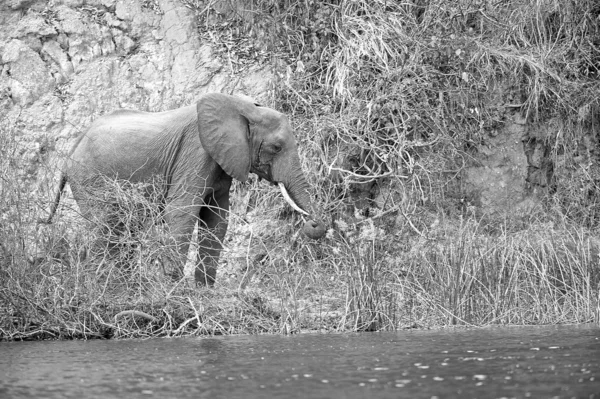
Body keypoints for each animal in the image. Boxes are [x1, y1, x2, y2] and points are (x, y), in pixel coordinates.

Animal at [44, 92, 326, 286]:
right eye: (277, 147)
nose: (313, 223)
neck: (242, 107)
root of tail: (71, 148)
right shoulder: (196, 152)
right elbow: (182, 211)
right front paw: (174, 290)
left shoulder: (221, 160)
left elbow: (217, 219)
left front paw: (204, 292)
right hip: (89, 179)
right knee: (105, 228)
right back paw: (108, 286)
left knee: (123, 229)